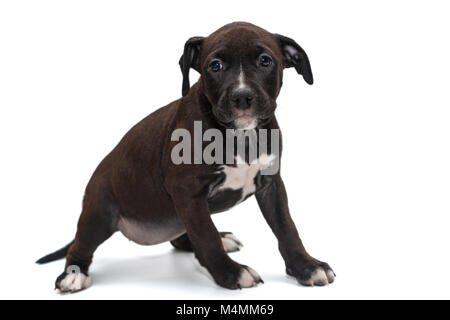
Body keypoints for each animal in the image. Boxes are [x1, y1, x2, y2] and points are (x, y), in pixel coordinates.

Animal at [37, 21, 334, 292]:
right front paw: (231, 273)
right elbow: (206, 236)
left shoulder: (271, 184)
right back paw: (73, 275)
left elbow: (286, 227)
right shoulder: (187, 190)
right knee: (80, 245)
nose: (242, 97)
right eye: (215, 65)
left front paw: (307, 266)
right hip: (100, 211)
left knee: (182, 235)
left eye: (265, 61)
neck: (239, 136)